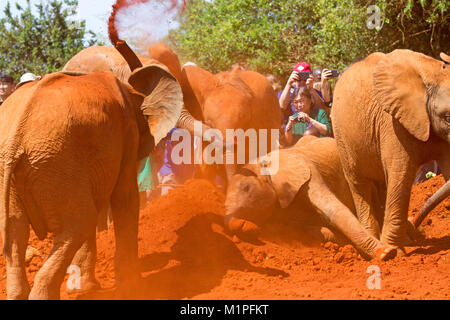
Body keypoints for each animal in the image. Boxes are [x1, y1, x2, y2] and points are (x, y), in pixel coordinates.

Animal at [0, 41, 183, 298]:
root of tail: (16, 138)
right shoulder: (126, 131)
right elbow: (125, 198)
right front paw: (132, 288)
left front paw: (88, 287)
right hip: (54, 163)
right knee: (79, 223)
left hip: (26, 169)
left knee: (16, 232)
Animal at [223, 135, 396, 260]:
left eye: (246, 188)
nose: (241, 224)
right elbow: (295, 227)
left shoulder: (310, 173)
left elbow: (334, 211)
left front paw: (386, 253)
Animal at [330, 48, 450, 251]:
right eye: (448, 117)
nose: (415, 223)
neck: (431, 74)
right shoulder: (393, 124)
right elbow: (400, 176)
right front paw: (395, 252)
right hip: (341, 136)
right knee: (359, 183)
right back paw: (378, 245)